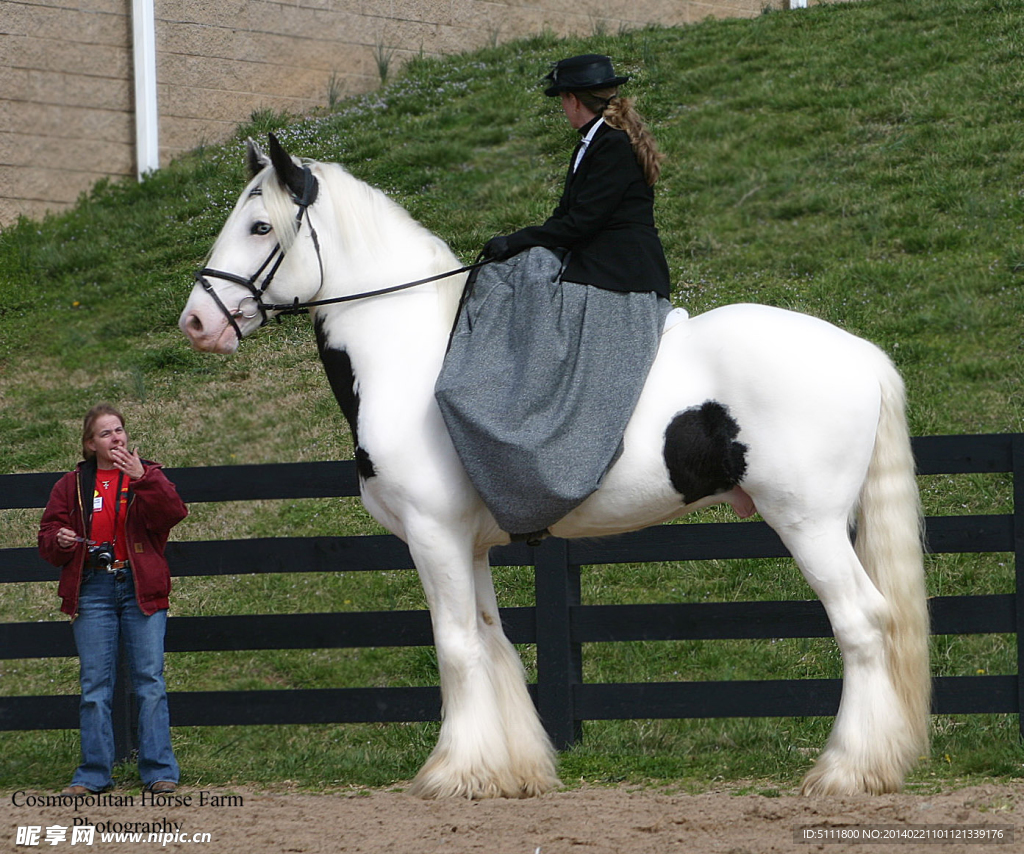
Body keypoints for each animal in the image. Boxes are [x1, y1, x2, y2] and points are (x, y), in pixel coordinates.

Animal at [180, 133, 933, 798]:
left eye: (259, 225)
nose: (195, 323)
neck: (412, 358)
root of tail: (860, 352)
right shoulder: (468, 545)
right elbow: (494, 642)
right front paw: (508, 772)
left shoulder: (432, 536)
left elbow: (455, 646)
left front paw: (452, 773)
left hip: (809, 524)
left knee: (863, 624)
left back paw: (848, 771)